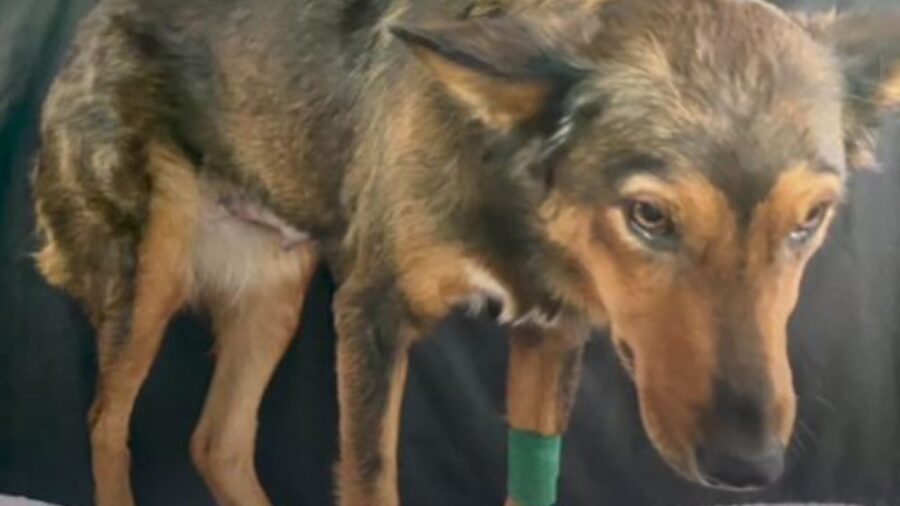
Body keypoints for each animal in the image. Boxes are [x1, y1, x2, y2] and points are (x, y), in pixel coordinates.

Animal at [28, 0, 900, 504]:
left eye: (811, 220)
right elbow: (370, 477)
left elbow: (532, 482)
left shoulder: (551, 338)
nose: (749, 468)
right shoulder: (370, 315)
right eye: (650, 215)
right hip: (147, 277)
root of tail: (90, 25)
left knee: (217, 442)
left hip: (276, 288)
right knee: (105, 422)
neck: (516, 194)